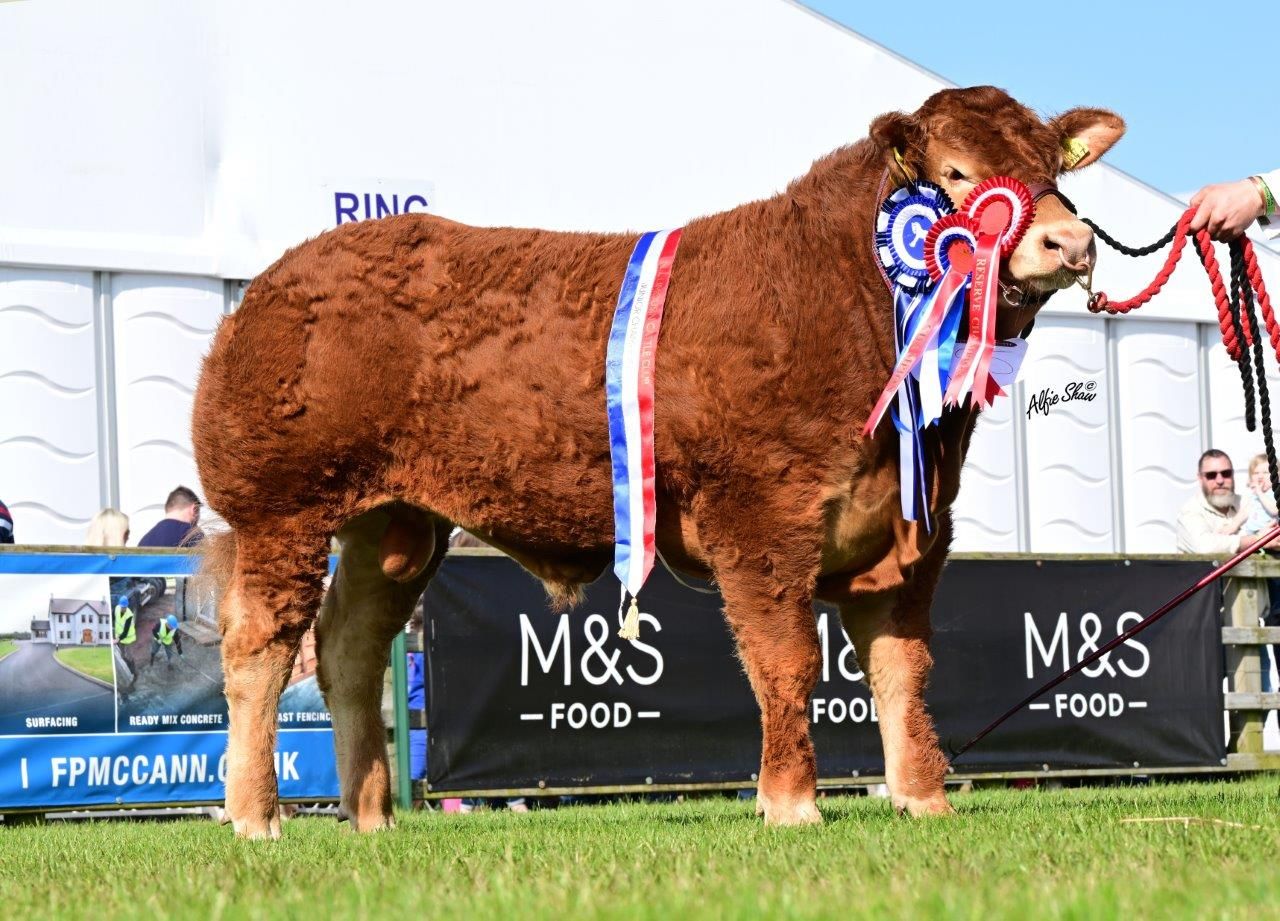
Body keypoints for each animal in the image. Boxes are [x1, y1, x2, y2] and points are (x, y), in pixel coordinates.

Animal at [192, 86, 1124, 838]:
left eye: (1054, 168)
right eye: (958, 173)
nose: (1068, 240)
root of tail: (276, 280)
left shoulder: (913, 532)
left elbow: (902, 669)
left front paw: (922, 796)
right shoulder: (761, 515)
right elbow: (786, 661)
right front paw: (792, 801)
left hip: (393, 525)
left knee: (348, 643)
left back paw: (372, 814)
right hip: (281, 507)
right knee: (261, 646)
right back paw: (255, 814)